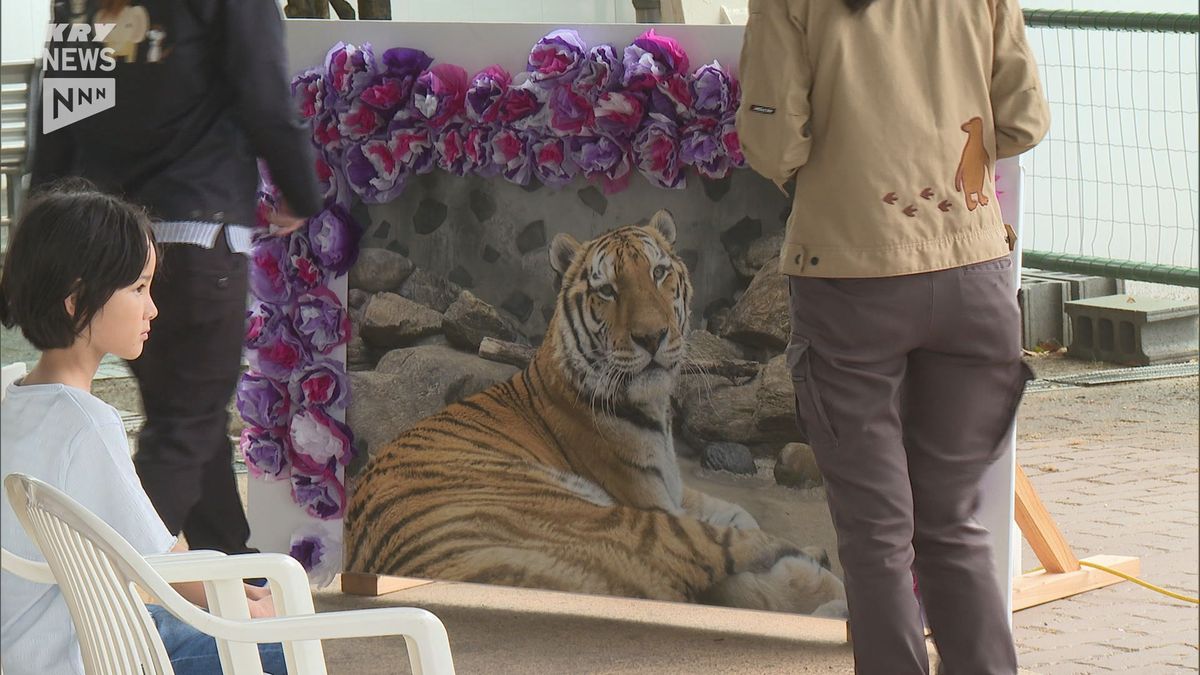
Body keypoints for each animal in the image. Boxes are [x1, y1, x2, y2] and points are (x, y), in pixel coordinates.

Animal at [348, 208, 849, 614]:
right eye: (607, 290)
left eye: (660, 272)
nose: (652, 337)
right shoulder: (650, 501)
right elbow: (744, 561)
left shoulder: (676, 488)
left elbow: (736, 511)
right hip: (612, 523)